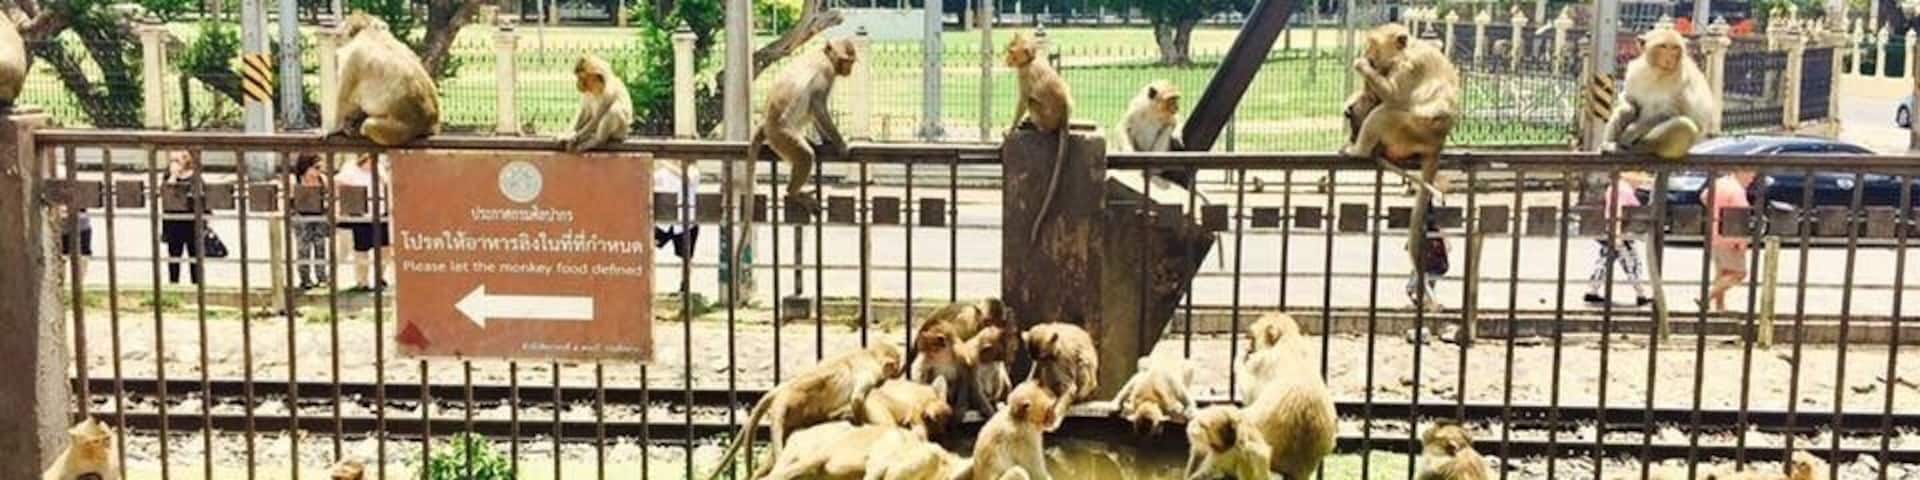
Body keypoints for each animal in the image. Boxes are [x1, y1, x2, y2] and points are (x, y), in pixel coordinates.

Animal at [329, 12, 440, 147]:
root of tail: (430, 122)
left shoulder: (353, 58)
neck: (370, 32)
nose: (336, 35)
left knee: (368, 125)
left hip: (401, 131)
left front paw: (335, 129)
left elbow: (344, 99)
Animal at [705, 343, 905, 480]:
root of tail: (786, 389)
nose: (898, 372)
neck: (868, 354)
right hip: (794, 406)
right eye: (895, 366)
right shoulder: (871, 372)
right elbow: (856, 398)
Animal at [1006, 31, 1076, 245]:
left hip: (1045, 118)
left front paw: (1010, 129)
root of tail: (1064, 117)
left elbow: (1022, 100)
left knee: (1031, 101)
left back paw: (1036, 127)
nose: (1005, 59)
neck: (1031, 59)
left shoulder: (1025, 76)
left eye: (1011, 52)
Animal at [1238, 315, 1338, 480]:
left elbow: (1249, 390)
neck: (1288, 339)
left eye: (1252, 338)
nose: (1248, 348)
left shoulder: (1262, 361)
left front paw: (1240, 359)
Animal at [1605, 28, 1716, 160]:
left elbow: (1670, 112)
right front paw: (1627, 111)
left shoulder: (1682, 82)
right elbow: (1628, 97)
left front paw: (1632, 130)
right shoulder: (1635, 71)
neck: (1657, 72)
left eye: (1675, 48)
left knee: (1684, 125)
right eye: (1663, 46)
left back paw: (1637, 148)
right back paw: (1610, 143)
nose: (1671, 57)